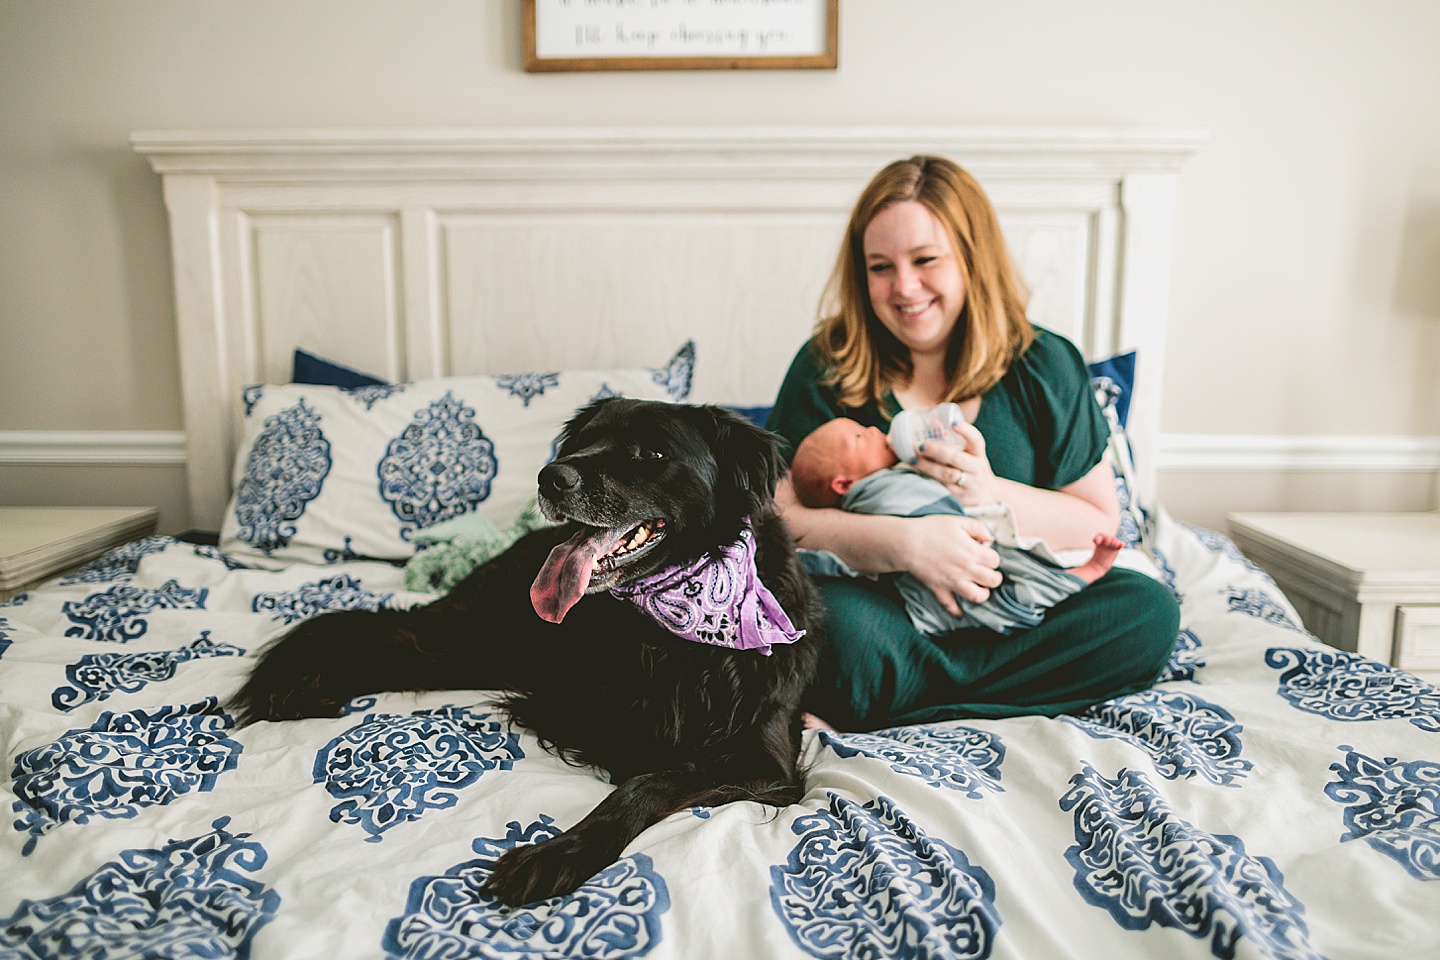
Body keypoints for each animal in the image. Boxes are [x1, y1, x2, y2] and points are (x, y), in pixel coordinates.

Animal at [236, 397, 823, 909]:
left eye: (652, 453)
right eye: (583, 442)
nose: (551, 477)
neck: (671, 625)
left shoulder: (766, 760)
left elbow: (651, 780)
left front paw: (556, 854)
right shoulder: (584, 705)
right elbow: (637, 757)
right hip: (476, 643)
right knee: (387, 641)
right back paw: (298, 689)